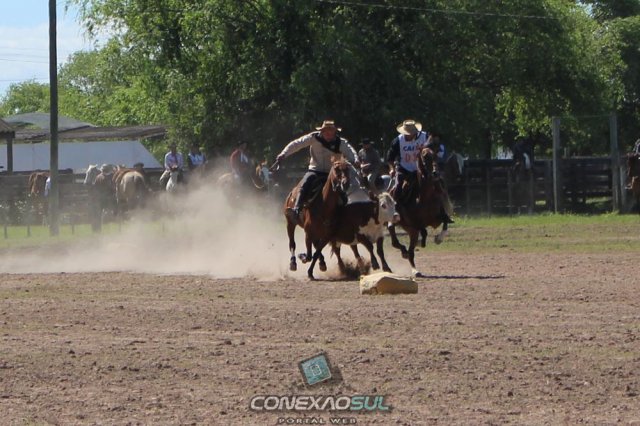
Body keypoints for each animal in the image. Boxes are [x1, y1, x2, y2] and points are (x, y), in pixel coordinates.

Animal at [388, 147, 454, 277]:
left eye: (435, 156)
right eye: (424, 157)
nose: (435, 173)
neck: (424, 197)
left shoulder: (437, 219)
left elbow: (445, 223)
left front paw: (438, 239)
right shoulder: (414, 224)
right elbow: (423, 232)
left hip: (409, 229)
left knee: (412, 245)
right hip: (396, 223)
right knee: (395, 237)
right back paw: (412, 266)